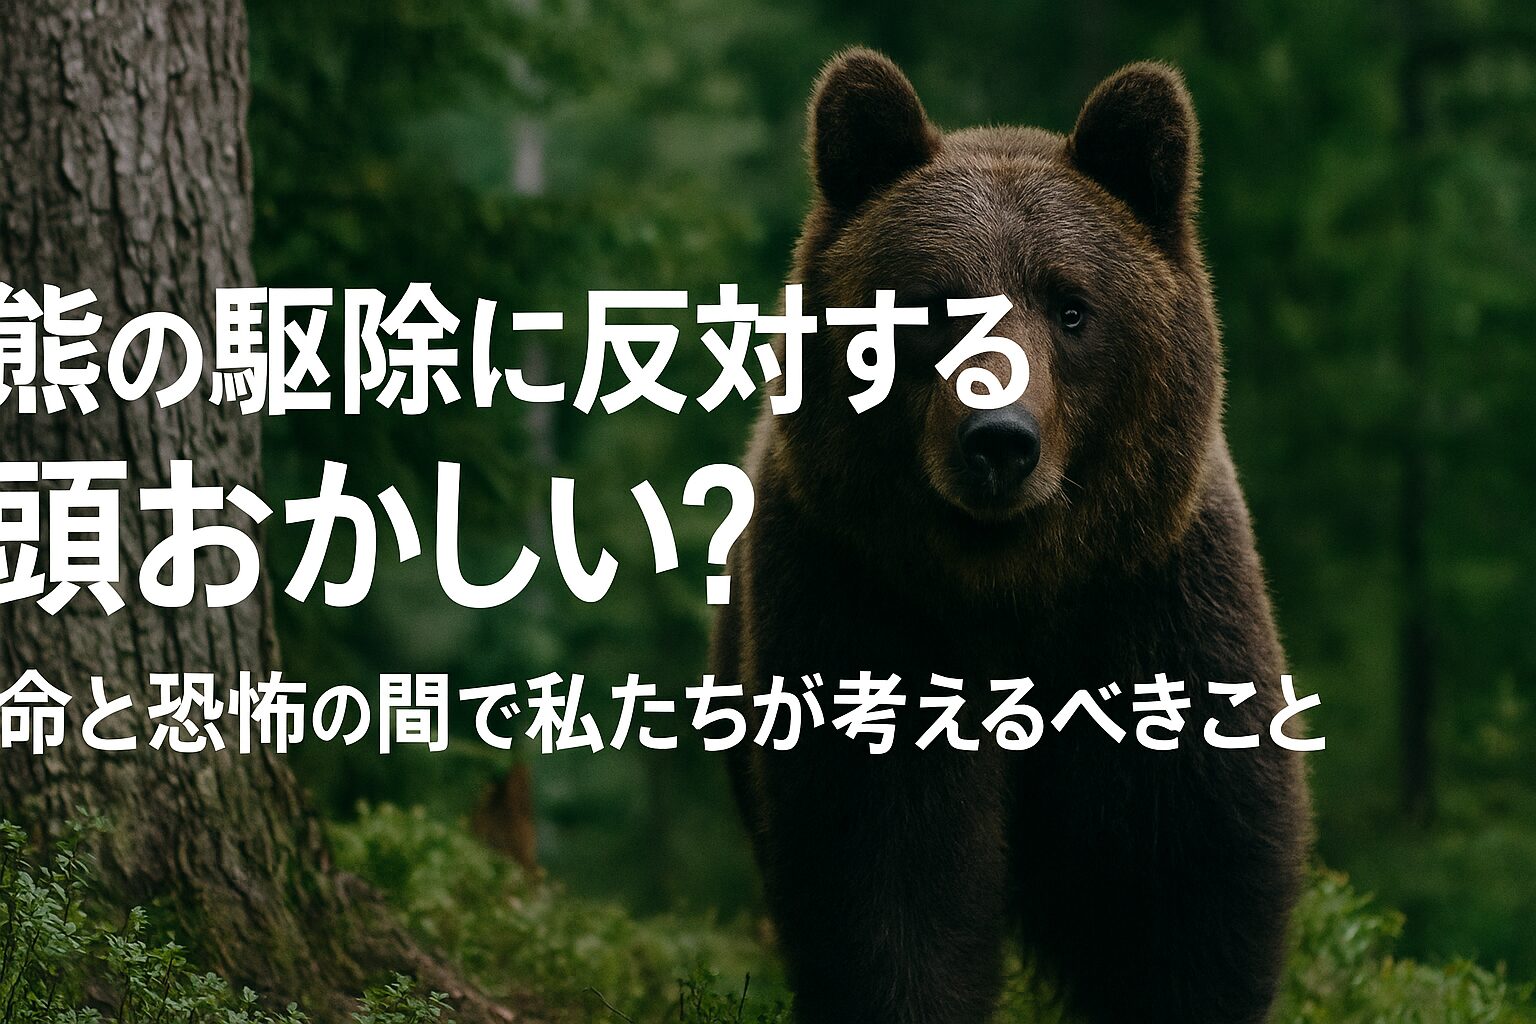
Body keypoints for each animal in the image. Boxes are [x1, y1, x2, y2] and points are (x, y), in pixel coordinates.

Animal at [709, 48, 1312, 1024]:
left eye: (1071, 307)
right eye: (927, 307)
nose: (998, 440)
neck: (1014, 584)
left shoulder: (1149, 605)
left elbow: (1187, 874)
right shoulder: (869, 600)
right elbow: (888, 869)